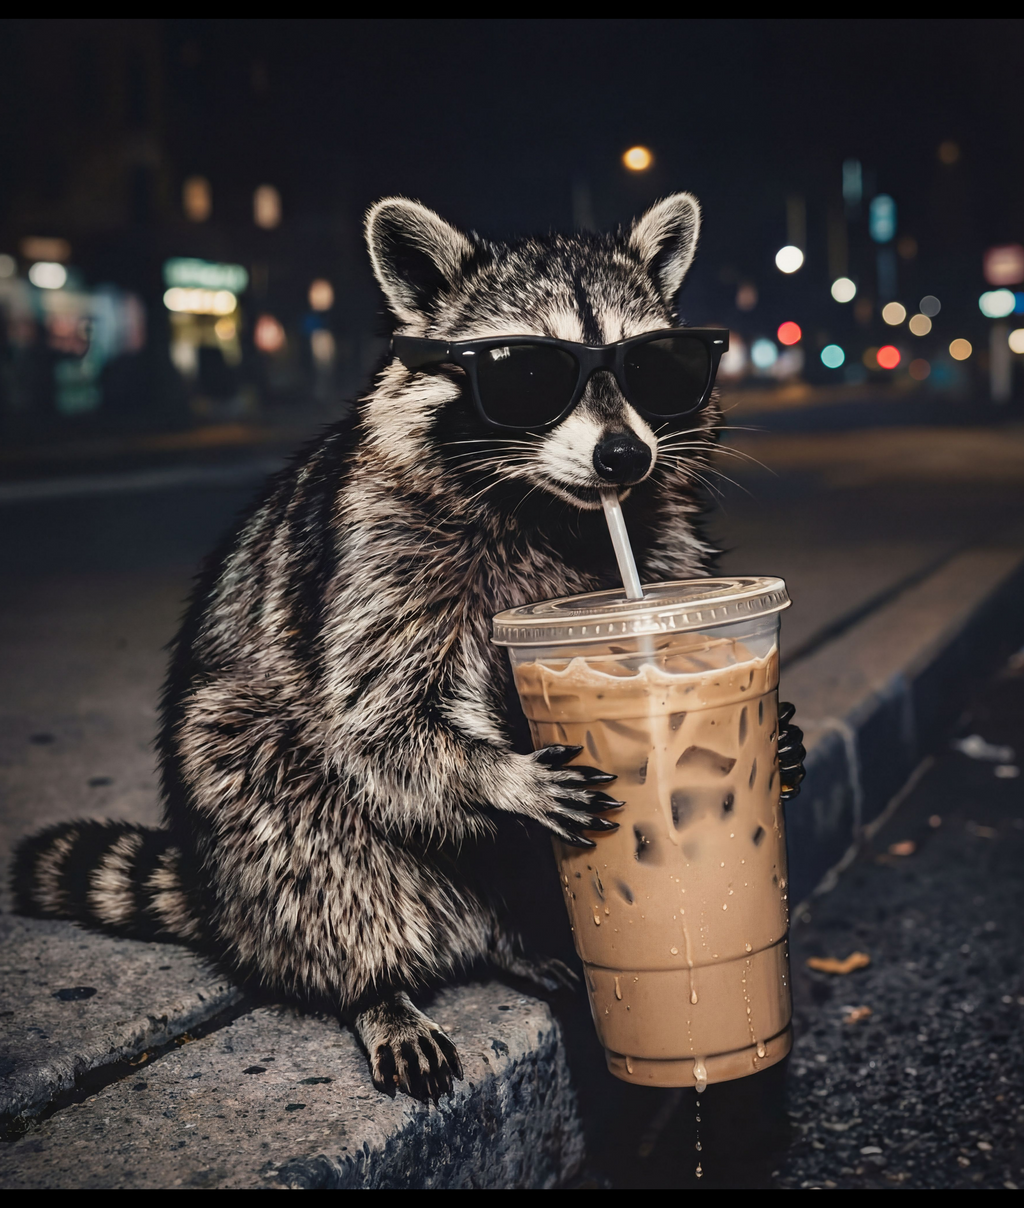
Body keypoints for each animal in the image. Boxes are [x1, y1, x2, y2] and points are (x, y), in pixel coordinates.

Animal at [13, 193, 804, 1103]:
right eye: (526, 371)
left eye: (656, 366)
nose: (623, 455)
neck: (550, 509)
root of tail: (222, 905)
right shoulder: (381, 553)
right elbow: (378, 725)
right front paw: (499, 775)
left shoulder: (657, 533)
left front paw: (776, 735)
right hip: (249, 782)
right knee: (305, 834)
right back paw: (376, 988)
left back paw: (521, 941)